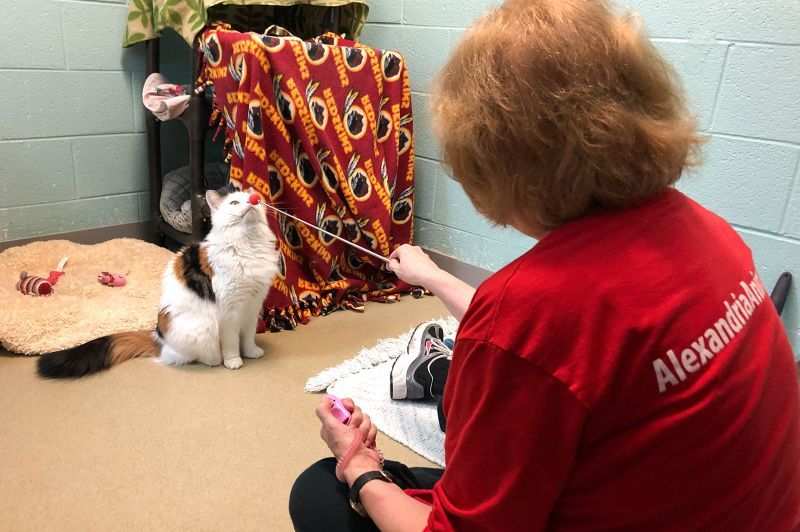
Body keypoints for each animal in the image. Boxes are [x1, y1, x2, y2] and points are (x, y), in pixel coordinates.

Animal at [37, 188, 282, 378]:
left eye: (254, 199)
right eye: (234, 203)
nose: (253, 201)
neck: (248, 244)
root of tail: (158, 336)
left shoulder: (252, 306)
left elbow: (247, 336)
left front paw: (251, 352)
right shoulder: (230, 311)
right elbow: (231, 341)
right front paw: (233, 361)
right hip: (203, 327)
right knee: (191, 356)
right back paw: (215, 360)